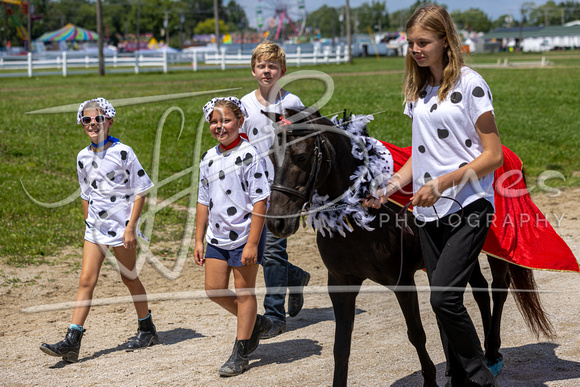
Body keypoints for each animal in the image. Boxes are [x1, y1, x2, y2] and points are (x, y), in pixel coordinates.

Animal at [262, 108, 552, 387]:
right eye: (270, 157)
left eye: (301, 157)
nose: (277, 222)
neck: (362, 214)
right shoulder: (341, 283)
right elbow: (341, 346)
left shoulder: (402, 281)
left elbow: (416, 334)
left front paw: (431, 380)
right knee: (478, 292)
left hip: (496, 251)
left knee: (498, 290)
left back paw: (491, 353)